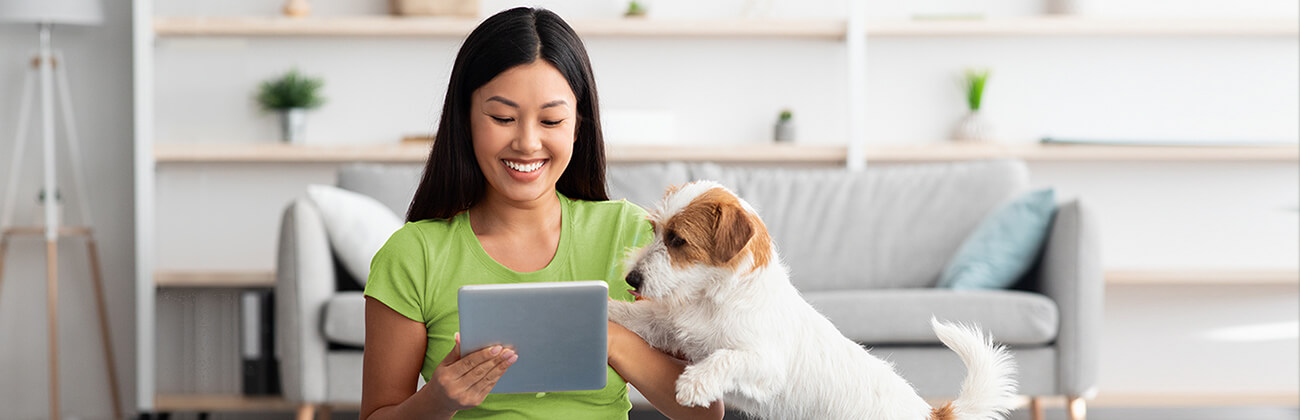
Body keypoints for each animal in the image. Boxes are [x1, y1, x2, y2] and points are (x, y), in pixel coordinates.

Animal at [613, 182, 1019, 420]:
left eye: (678, 240)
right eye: (655, 230)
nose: (631, 278)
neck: (712, 299)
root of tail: (929, 413)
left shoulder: (764, 363)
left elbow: (726, 357)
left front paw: (694, 383)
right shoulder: (671, 327)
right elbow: (637, 317)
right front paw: (610, 312)